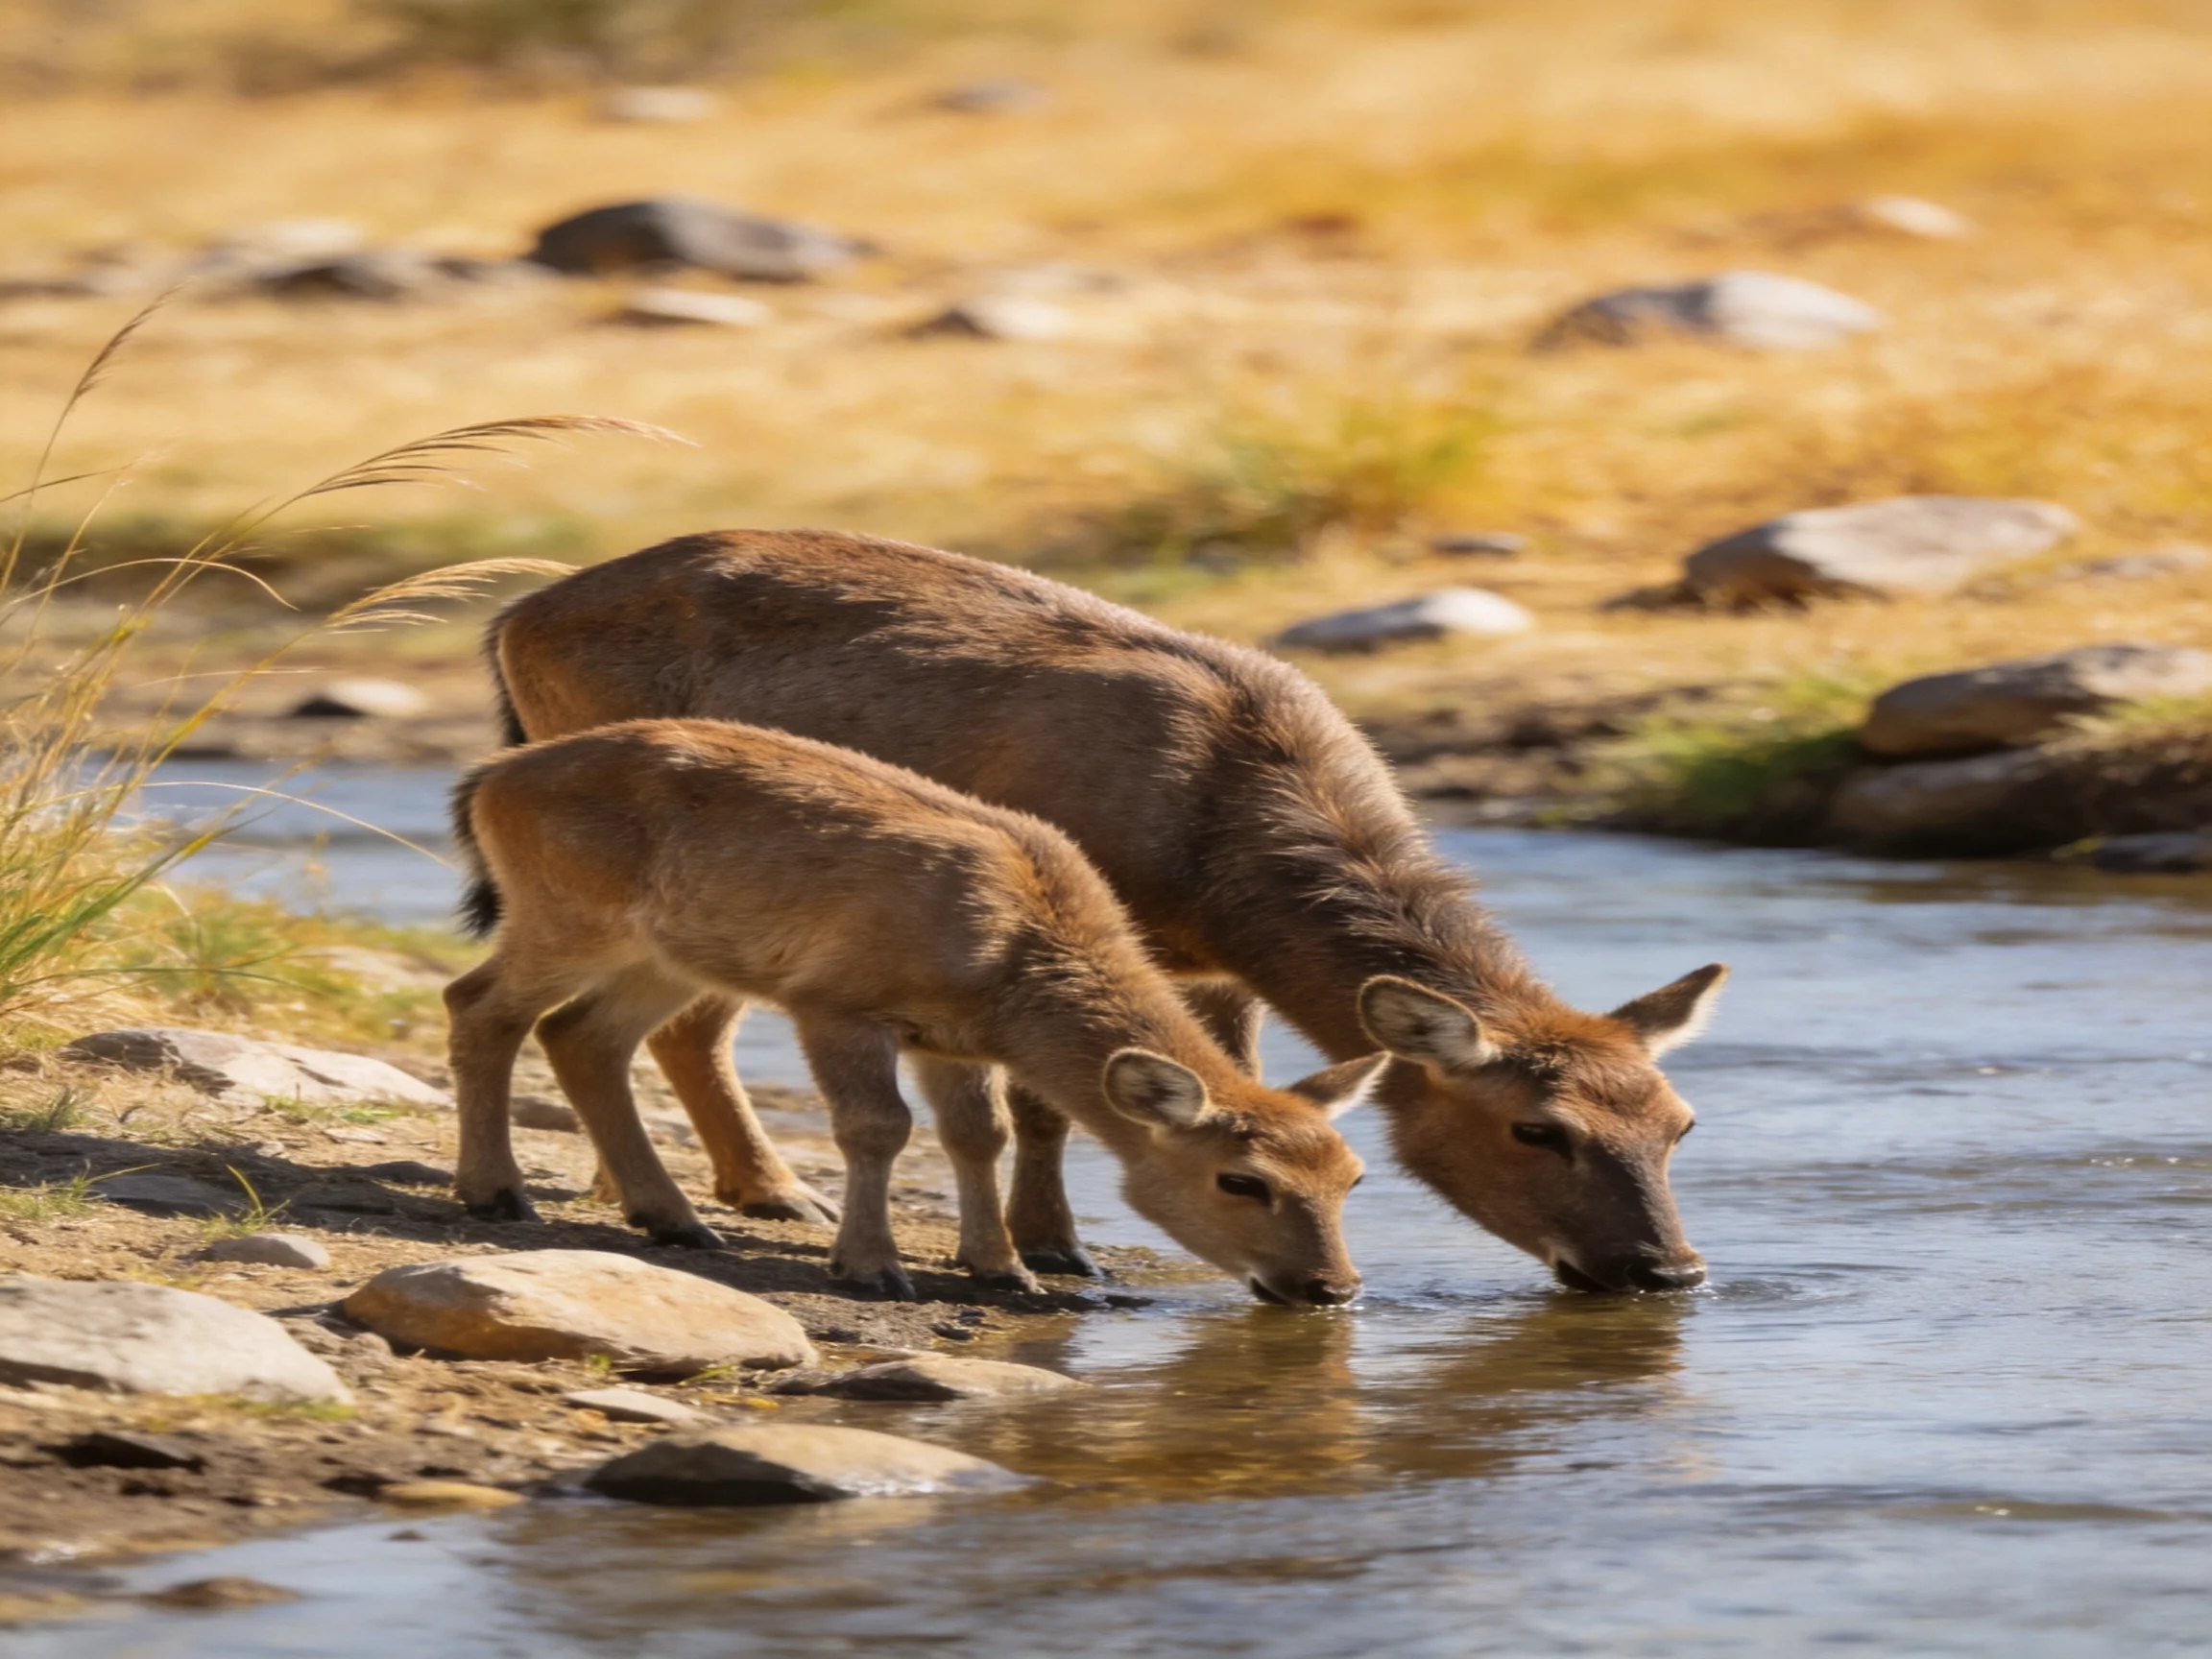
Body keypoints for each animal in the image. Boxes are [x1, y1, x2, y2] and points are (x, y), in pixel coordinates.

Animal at [444, 718, 1378, 1306]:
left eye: (1352, 1177)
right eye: (1241, 1179)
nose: (1330, 1288)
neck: (1009, 965)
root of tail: (484, 782)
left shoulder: (952, 1043)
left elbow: (977, 1136)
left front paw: (1001, 1268)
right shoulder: (836, 1000)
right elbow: (876, 1127)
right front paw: (870, 1267)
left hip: (666, 955)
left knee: (581, 1034)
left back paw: (673, 1220)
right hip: (568, 915)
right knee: (479, 1003)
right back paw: (498, 1193)